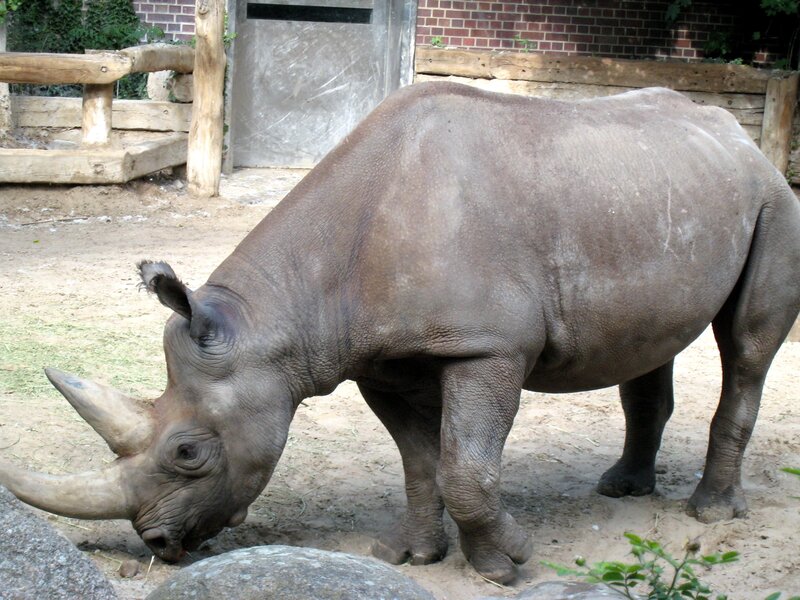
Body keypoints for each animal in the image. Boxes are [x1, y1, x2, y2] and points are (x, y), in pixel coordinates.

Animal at [1, 83, 799, 584]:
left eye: (189, 453)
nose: (157, 543)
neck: (281, 314)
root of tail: (737, 135)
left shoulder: (488, 345)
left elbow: (466, 466)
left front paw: (507, 563)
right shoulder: (373, 358)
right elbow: (421, 462)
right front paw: (410, 557)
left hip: (771, 200)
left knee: (747, 348)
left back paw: (708, 511)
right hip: (657, 195)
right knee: (650, 344)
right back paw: (622, 490)